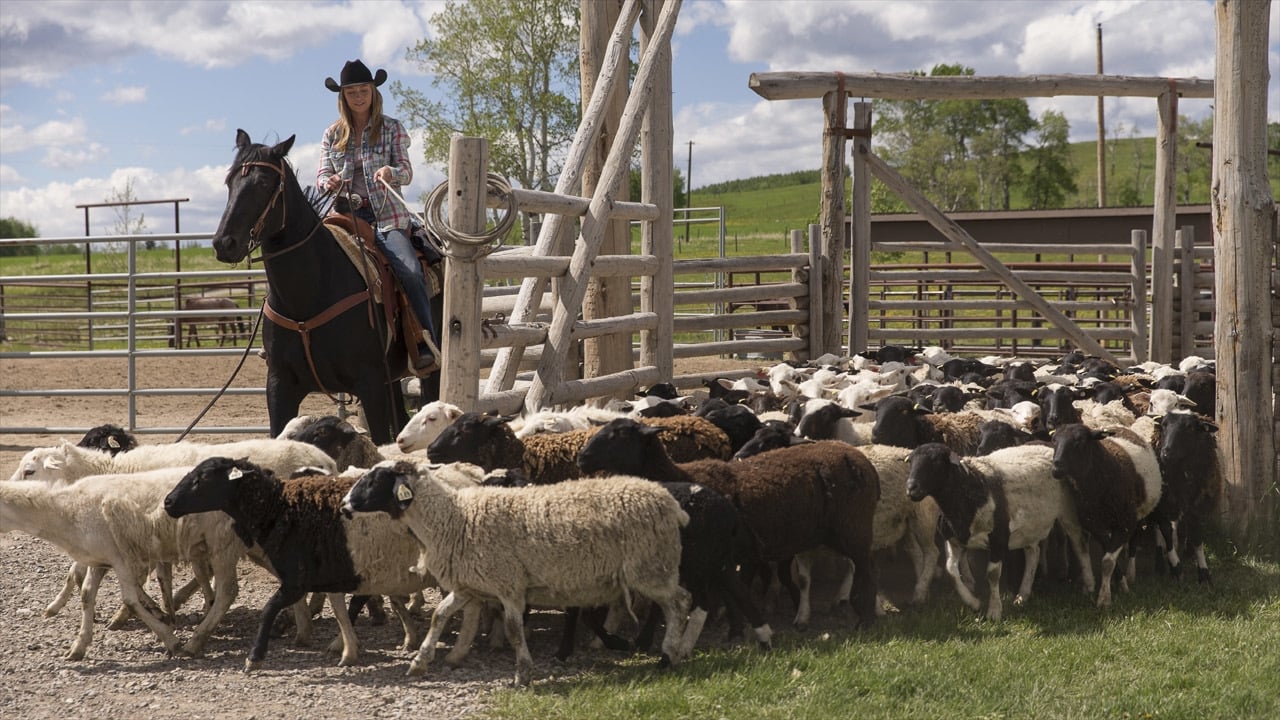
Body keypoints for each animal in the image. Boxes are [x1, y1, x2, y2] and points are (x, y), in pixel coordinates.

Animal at [207, 128, 432, 443]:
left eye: (263, 183)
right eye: (229, 181)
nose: (224, 243)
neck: (309, 295)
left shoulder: (370, 382)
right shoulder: (280, 385)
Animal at [340, 458, 691, 681]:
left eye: (374, 480)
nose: (343, 506)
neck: (454, 519)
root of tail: (670, 503)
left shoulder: (508, 585)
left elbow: (511, 628)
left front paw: (523, 673)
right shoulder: (469, 585)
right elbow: (440, 615)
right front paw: (419, 662)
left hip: (651, 567)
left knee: (679, 603)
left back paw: (669, 656)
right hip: (654, 567)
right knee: (676, 603)